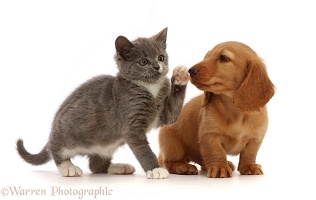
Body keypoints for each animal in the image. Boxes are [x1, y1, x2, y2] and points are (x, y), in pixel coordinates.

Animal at [16, 27, 189, 179]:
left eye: (161, 57)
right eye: (143, 62)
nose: (157, 66)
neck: (150, 88)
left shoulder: (163, 115)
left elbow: (172, 116)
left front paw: (180, 76)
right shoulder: (131, 125)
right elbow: (143, 149)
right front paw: (155, 169)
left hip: (105, 146)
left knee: (96, 166)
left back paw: (119, 167)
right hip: (66, 134)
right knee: (56, 149)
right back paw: (68, 167)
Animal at [158, 41, 274, 178]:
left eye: (223, 58)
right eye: (206, 56)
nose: (191, 71)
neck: (235, 111)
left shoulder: (256, 138)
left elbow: (249, 153)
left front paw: (249, 166)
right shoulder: (209, 135)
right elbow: (216, 152)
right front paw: (220, 167)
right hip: (174, 146)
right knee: (167, 162)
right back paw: (184, 167)